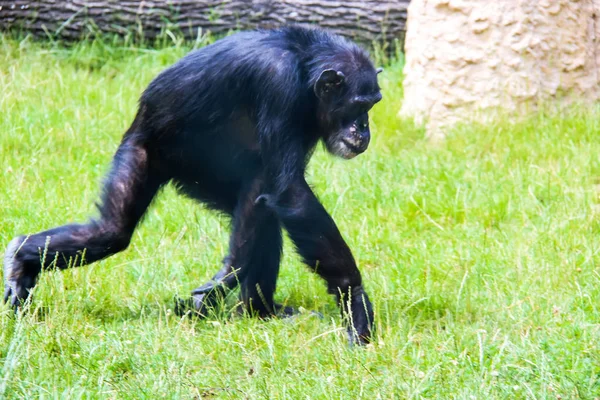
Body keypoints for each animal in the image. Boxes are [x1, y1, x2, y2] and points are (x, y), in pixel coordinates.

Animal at [3, 25, 380, 346]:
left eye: (372, 105)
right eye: (359, 105)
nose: (364, 128)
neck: (304, 68)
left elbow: (274, 194)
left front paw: (224, 280)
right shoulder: (278, 86)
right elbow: (289, 191)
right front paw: (355, 301)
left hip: (202, 177)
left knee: (258, 202)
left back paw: (260, 311)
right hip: (143, 152)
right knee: (112, 231)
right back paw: (20, 258)